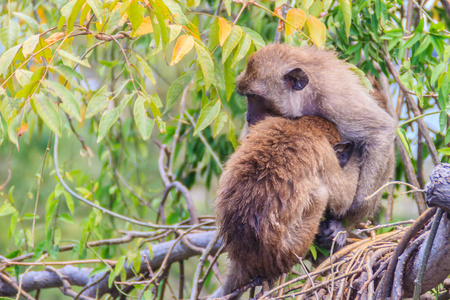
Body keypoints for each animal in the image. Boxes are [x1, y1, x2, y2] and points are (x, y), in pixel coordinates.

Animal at [214, 115, 358, 298]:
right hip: (289, 250)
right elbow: (344, 200)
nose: (343, 159)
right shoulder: (326, 153)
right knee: (320, 194)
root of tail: (244, 259)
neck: (303, 127)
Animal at [237, 43, 396, 238]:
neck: (307, 97)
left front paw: (348, 217)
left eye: (255, 96)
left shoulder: (336, 101)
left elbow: (380, 132)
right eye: (248, 96)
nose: (249, 118)